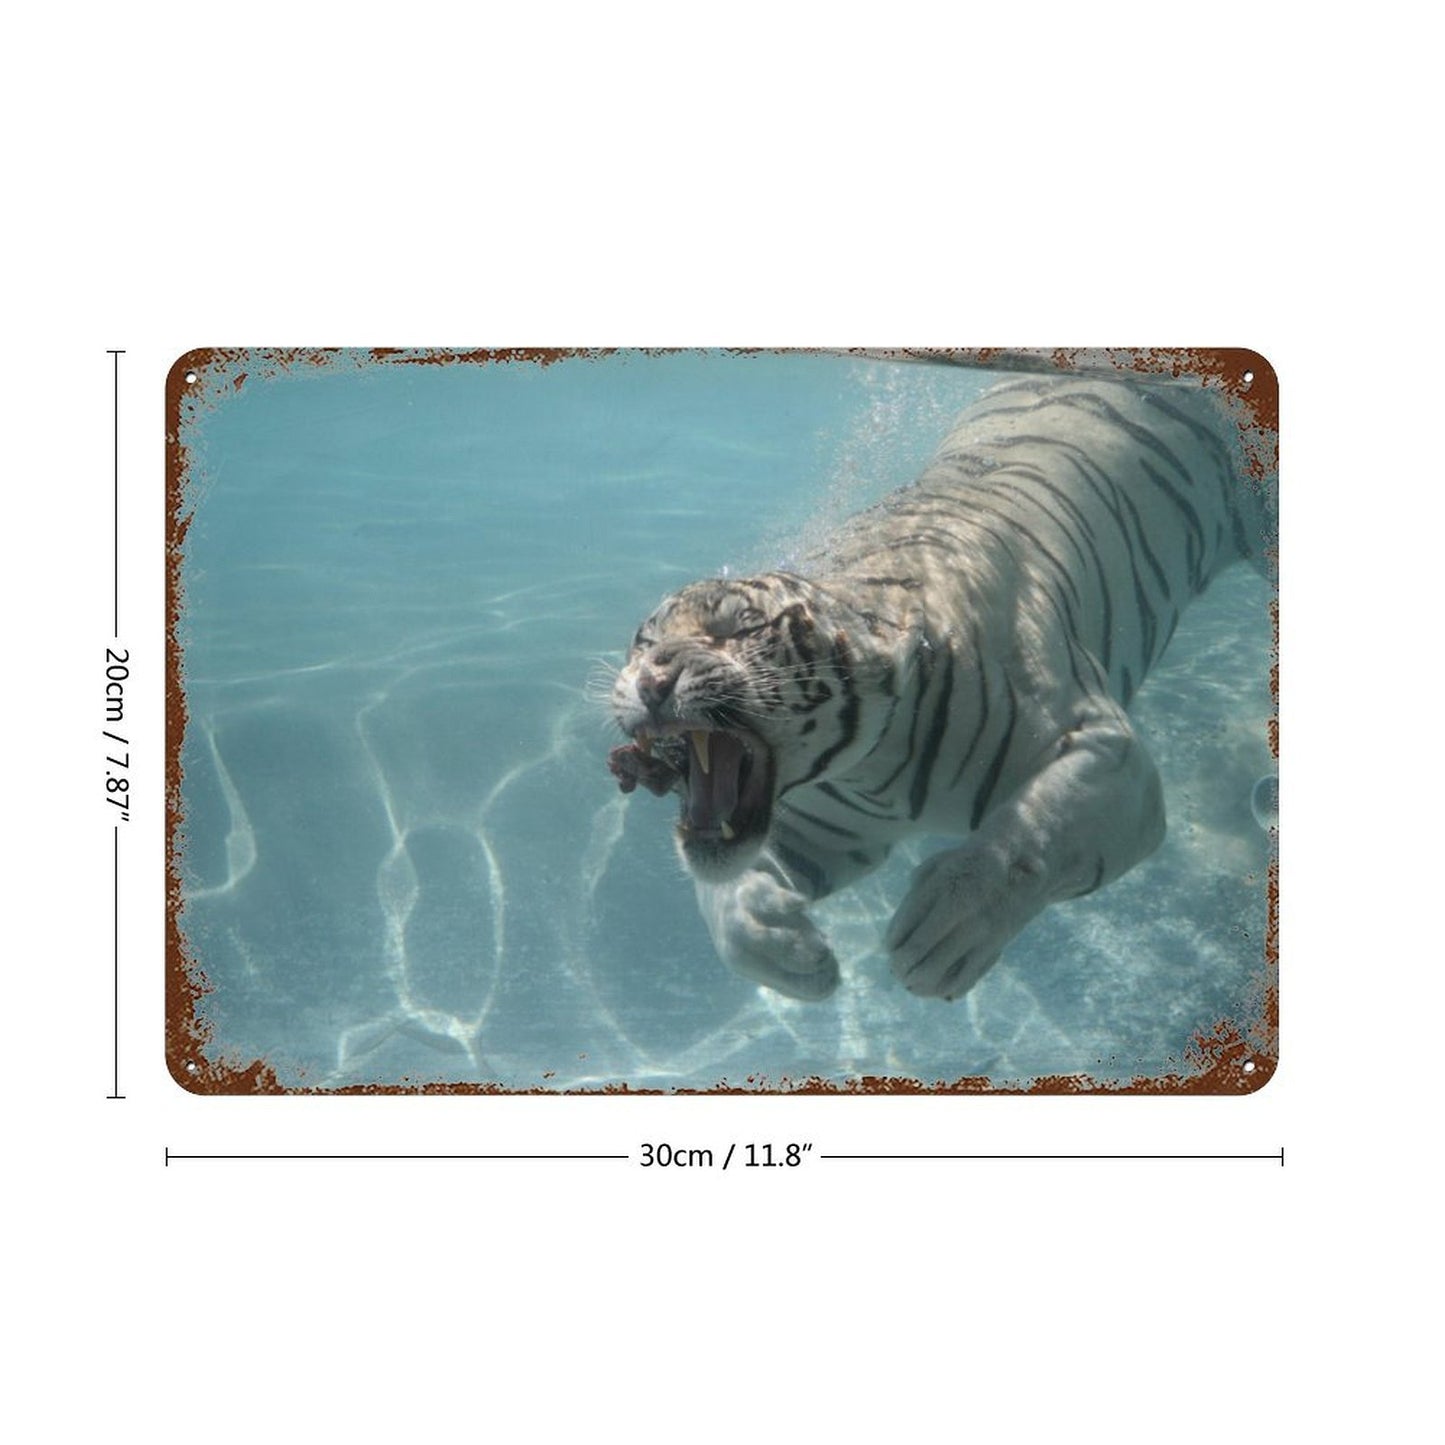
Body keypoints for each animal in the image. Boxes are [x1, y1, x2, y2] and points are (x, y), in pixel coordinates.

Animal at [607, 373, 1277, 1002]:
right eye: (644, 639)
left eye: (738, 626)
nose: (653, 678)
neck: (871, 767)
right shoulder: (824, 831)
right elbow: (725, 895)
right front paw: (783, 945)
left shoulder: (1113, 759)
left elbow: (1034, 832)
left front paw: (947, 928)